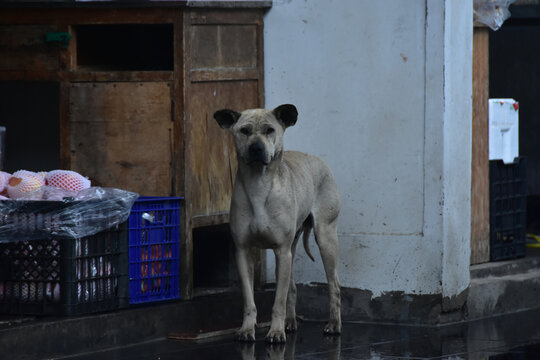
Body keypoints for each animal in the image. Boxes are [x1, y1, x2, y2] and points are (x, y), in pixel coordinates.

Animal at [213, 103, 340, 344]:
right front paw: (247, 328)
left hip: (325, 239)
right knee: (292, 288)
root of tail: (318, 159)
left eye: (270, 130)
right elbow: (249, 299)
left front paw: (276, 331)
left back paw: (333, 325)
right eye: (244, 131)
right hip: (291, 249)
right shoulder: (243, 251)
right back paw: (290, 321)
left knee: (334, 286)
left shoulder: (282, 251)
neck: (259, 184)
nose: (256, 148)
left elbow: (278, 300)